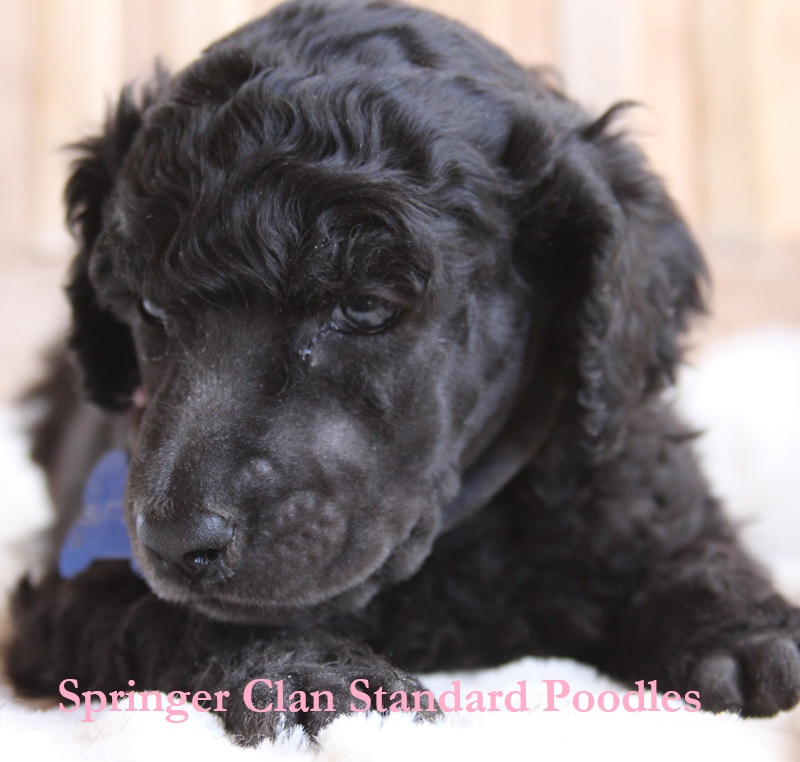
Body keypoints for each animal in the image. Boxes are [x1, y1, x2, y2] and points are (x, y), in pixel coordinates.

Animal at [8, 0, 800, 745]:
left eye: (364, 308)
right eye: (146, 308)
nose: (176, 542)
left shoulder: (627, 475)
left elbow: (691, 547)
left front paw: (745, 633)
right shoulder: (73, 592)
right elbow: (186, 616)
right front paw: (307, 676)